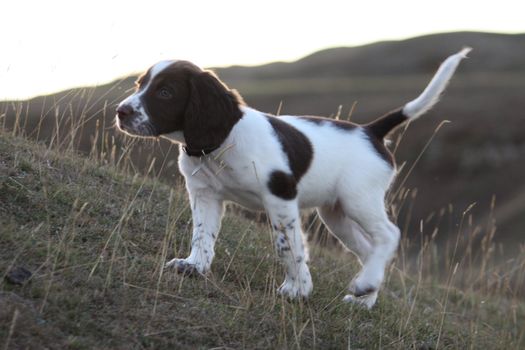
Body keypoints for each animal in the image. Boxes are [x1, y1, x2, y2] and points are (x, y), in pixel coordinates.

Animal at [116, 49, 468, 308]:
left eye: (165, 92)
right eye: (138, 85)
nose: (121, 111)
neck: (221, 144)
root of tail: (370, 131)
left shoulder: (280, 196)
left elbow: (287, 245)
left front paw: (298, 289)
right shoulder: (204, 194)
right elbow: (202, 234)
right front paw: (194, 266)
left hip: (359, 199)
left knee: (389, 235)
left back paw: (365, 284)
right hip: (335, 215)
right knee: (369, 249)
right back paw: (364, 299)